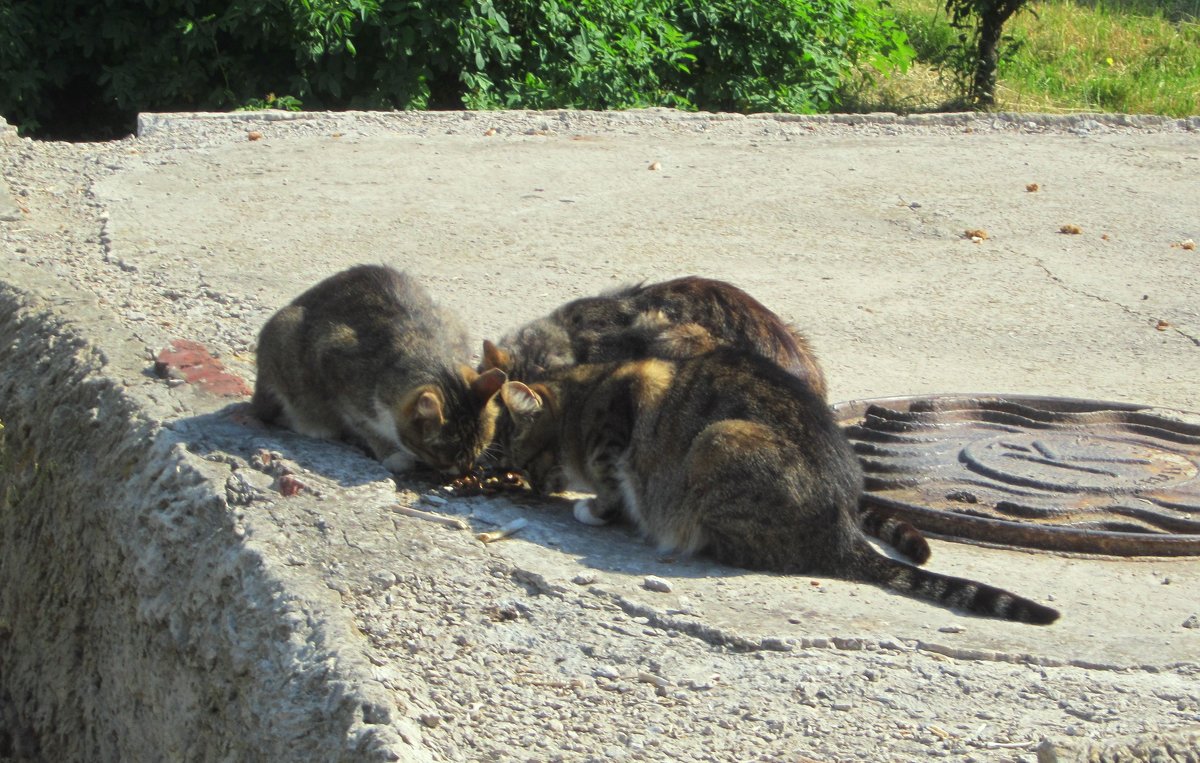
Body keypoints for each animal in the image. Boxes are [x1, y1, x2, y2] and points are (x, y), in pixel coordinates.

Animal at [250, 265, 504, 475]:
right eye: (445, 457)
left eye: (479, 449)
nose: (464, 471)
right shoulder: (334, 365)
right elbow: (364, 425)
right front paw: (390, 452)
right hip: (285, 332)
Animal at [496, 347, 1060, 623]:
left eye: (523, 458)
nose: (529, 488)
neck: (584, 393)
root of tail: (841, 529)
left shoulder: (617, 431)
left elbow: (612, 488)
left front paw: (591, 508)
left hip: (720, 440)